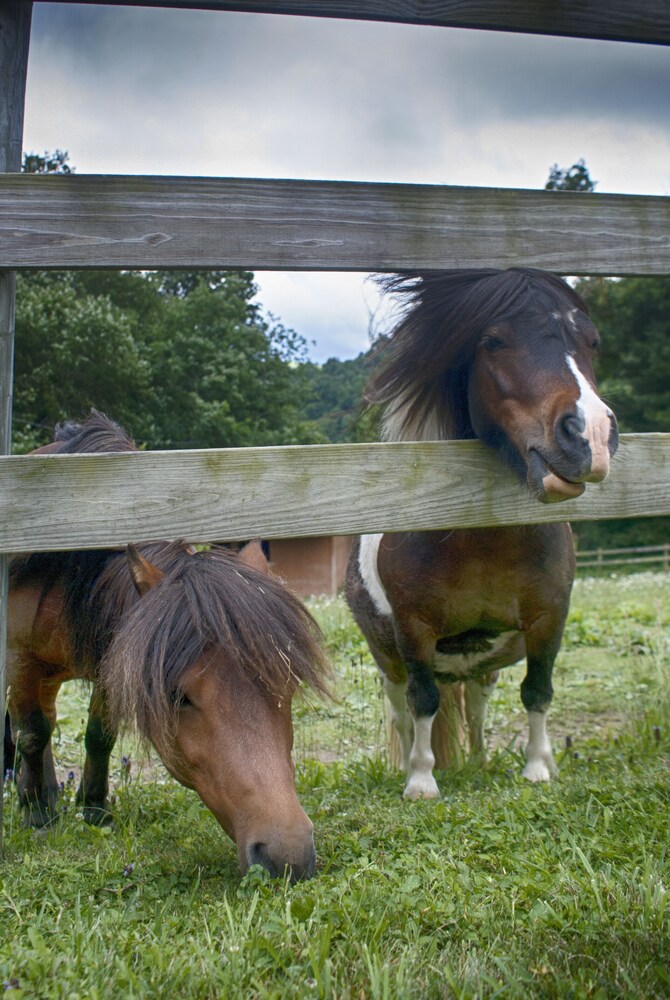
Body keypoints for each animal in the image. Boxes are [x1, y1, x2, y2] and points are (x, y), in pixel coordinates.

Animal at [5, 410, 330, 880]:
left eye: (286, 685)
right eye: (179, 697)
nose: (288, 856)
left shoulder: (114, 664)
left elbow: (99, 735)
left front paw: (94, 809)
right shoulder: (20, 660)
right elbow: (31, 734)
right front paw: (36, 817)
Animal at [346, 270, 620, 800]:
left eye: (592, 342)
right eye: (493, 341)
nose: (591, 437)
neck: (483, 542)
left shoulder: (550, 616)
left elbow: (538, 690)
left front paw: (537, 767)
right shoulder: (414, 630)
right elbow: (424, 700)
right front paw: (421, 781)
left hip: (480, 665)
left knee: (474, 708)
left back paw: (478, 761)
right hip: (388, 659)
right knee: (403, 710)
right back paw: (408, 765)